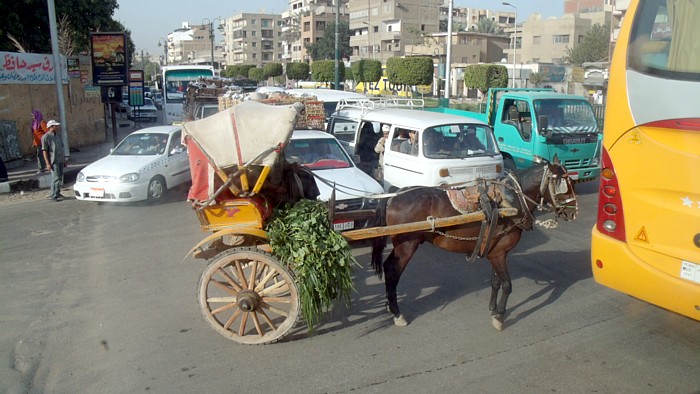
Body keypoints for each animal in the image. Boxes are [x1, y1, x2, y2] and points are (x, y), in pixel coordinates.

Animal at [370, 157, 576, 330]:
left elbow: (495, 282)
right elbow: (507, 285)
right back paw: (397, 314)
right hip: (407, 246)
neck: (510, 201)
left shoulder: (496, 252)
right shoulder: (499, 254)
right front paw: (499, 317)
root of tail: (394, 195)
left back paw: (390, 307)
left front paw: (493, 308)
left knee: (388, 267)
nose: (573, 211)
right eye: (564, 185)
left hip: (401, 245)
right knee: (392, 271)